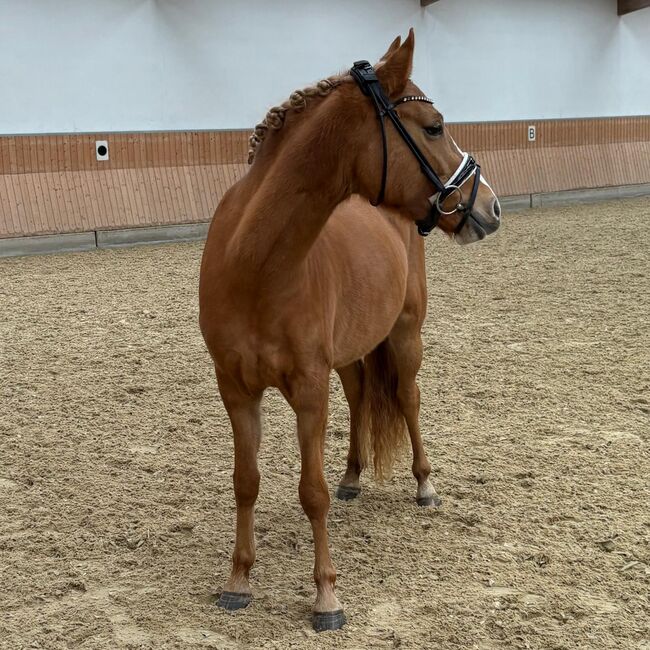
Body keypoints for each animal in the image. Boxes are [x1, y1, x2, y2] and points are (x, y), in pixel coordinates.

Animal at [200, 30, 498, 628]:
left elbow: (310, 492)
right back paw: (354, 477)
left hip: (405, 338)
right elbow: (246, 482)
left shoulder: (309, 390)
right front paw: (238, 581)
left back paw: (425, 486)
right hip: (351, 353)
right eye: (434, 126)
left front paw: (326, 597)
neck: (254, 265)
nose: (491, 206)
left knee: (406, 399)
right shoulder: (236, 389)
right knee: (362, 396)